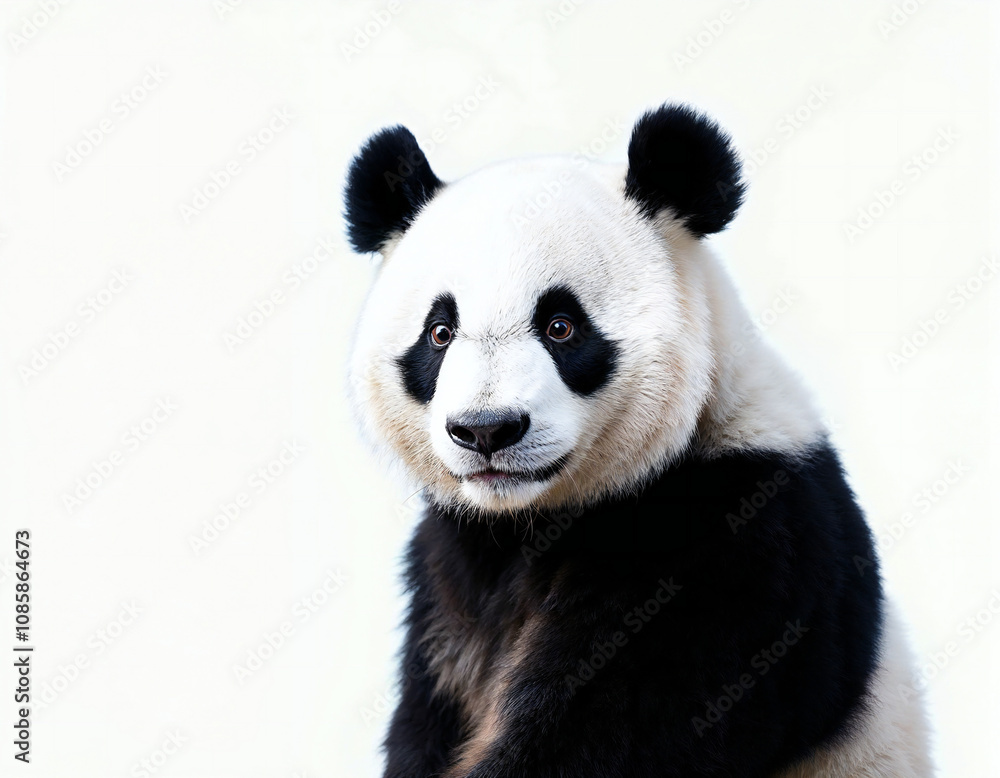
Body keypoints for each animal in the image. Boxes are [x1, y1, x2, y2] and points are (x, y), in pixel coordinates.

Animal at [343, 104, 933, 777]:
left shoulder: (735, 544)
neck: (530, 520)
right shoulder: (449, 574)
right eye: (440, 333)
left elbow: (608, 731)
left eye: (561, 326)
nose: (487, 429)